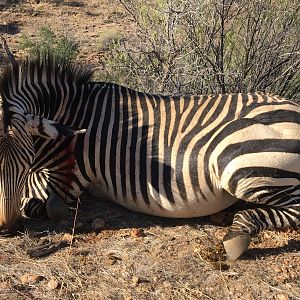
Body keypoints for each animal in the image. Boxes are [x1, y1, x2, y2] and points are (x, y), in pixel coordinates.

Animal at [0, 54, 298, 260]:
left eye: (25, 165)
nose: (6, 228)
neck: (72, 114)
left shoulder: (70, 176)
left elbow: (33, 202)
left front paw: (51, 207)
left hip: (238, 161)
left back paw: (237, 236)